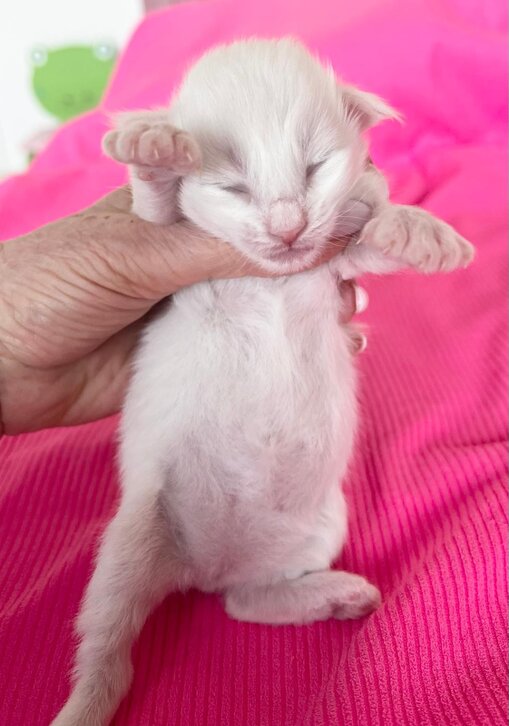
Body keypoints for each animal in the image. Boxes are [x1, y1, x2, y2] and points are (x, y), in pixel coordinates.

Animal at [52, 38, 474, 726]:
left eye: (315, 167)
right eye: (232, 186)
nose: (286, 227)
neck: (272, 275)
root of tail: (210, 569)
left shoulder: (337, 258)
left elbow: (368, 240)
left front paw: (414, 229)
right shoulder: (165, 252)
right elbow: (154, 211)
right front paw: (153, 146)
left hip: (320, 525)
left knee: (246, 603)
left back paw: (332, 595)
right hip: (130, 538)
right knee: (109, 651)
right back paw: (83, 705)